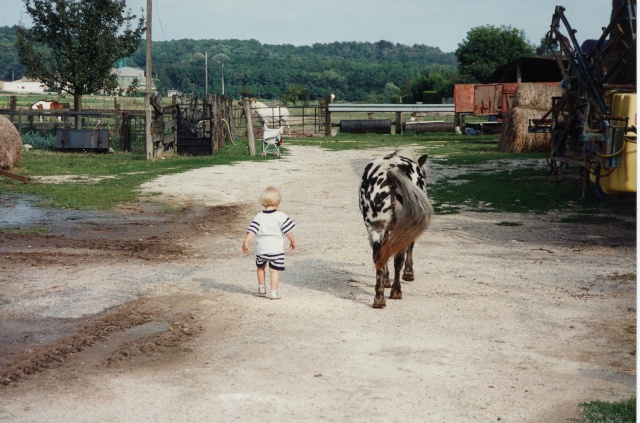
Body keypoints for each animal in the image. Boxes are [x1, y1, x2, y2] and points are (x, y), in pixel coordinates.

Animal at [358, 149, 432, 308]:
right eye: (425, 174)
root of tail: (390, 175)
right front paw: (409, 274)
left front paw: (386, 281)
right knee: (397, 259)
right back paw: (395, 291)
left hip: (375, 228)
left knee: (381, 257)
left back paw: (379, 298)